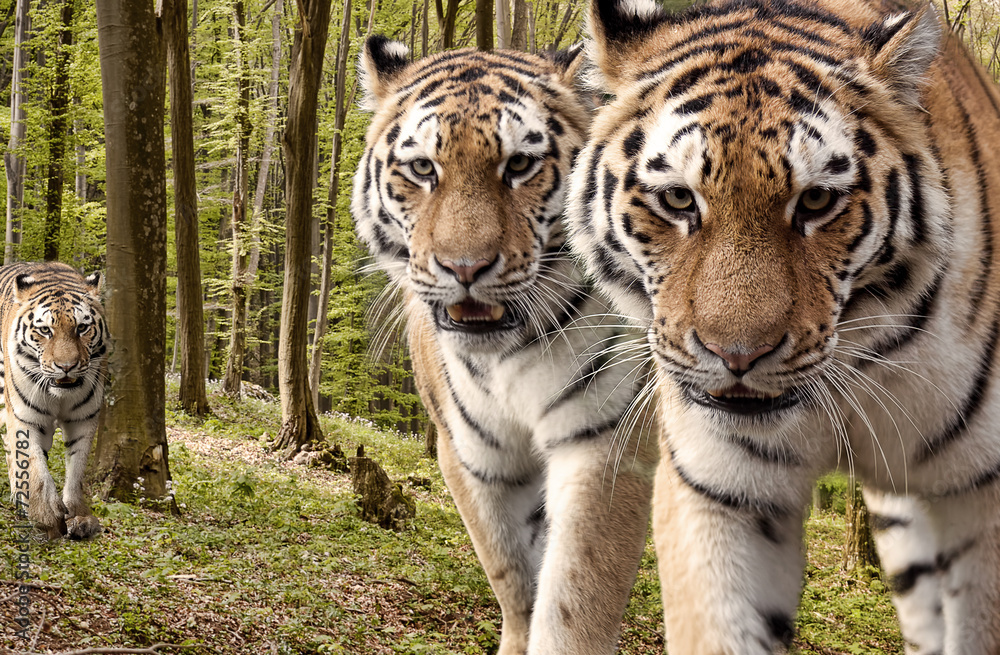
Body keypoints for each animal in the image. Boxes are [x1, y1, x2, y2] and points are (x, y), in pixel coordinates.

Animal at [0, 262, 108, 540]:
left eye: (82, 328)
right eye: (45, 330)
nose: (66, 366)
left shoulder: (84, 419)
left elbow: (77, 468)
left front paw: (78, 516)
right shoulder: (24, 417)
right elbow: (33, 464)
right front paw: (45, 515)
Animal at [351, 37, 658, 654]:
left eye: (519, 165)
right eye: (423, 168)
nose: (465, 267)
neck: (505, 358)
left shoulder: (604, 445)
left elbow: (577, 599)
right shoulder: (473, 456)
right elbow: (512, 575)